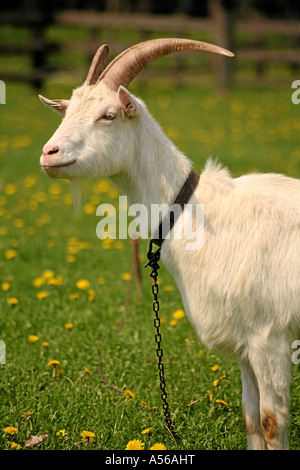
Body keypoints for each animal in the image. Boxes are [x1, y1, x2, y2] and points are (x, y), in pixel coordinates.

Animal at [39, 38, 300, 450]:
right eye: (68, 111)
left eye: (108, 115)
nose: (49, 154)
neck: (197, 212)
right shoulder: (245, 342)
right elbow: (250, 417)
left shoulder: (269, 336)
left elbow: (270, 420)